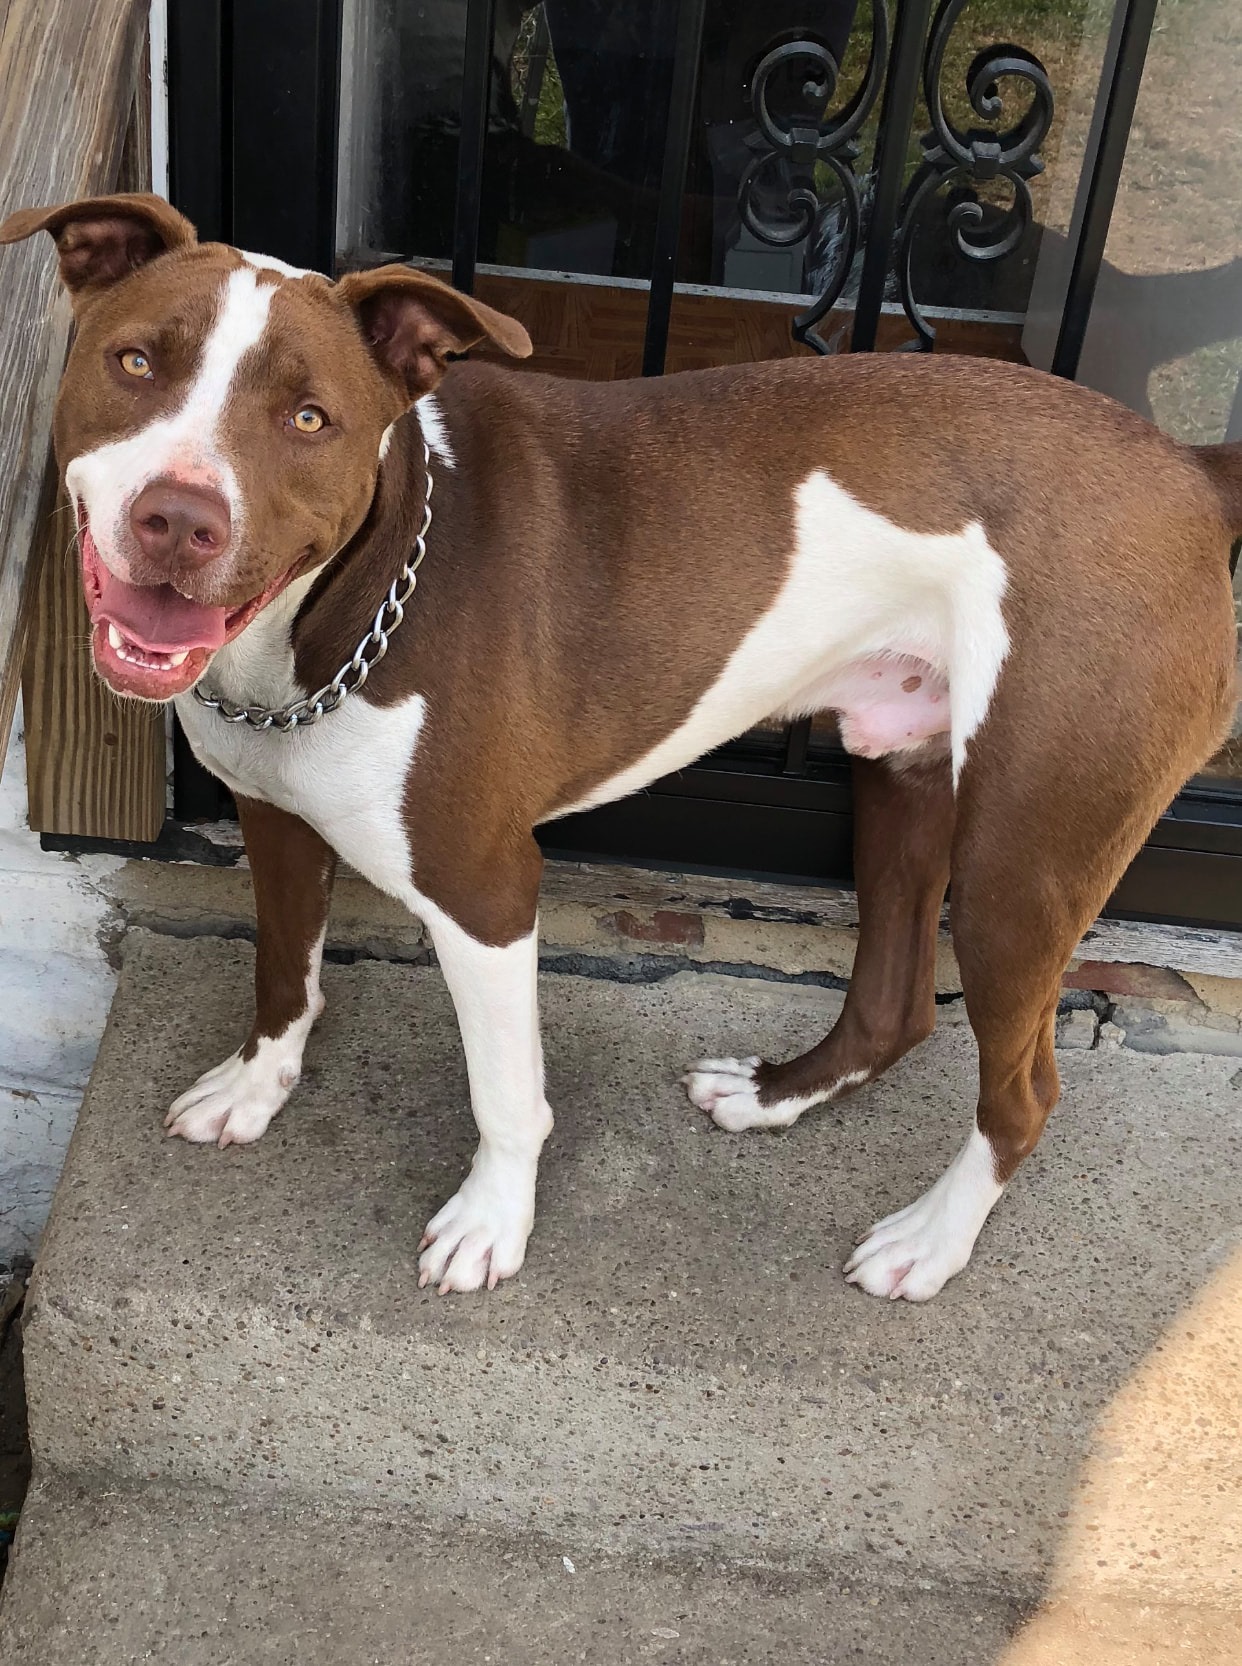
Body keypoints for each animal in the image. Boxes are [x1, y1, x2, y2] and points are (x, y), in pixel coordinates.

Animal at [4, 198, 1233, 1299]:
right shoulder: (274, 816)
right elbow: (282, 969)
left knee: (1023, 1093)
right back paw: (778, 1096)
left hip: (1018, 865)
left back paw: (930, 1243)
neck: (343, 608)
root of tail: (1185, 468)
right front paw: (256, 1088)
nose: (180, 518)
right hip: (902, 775)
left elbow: (507, 1091)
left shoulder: (486, 888)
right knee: (895, 1001)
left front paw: (491, 1225)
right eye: (134, 362)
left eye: (310, 419)